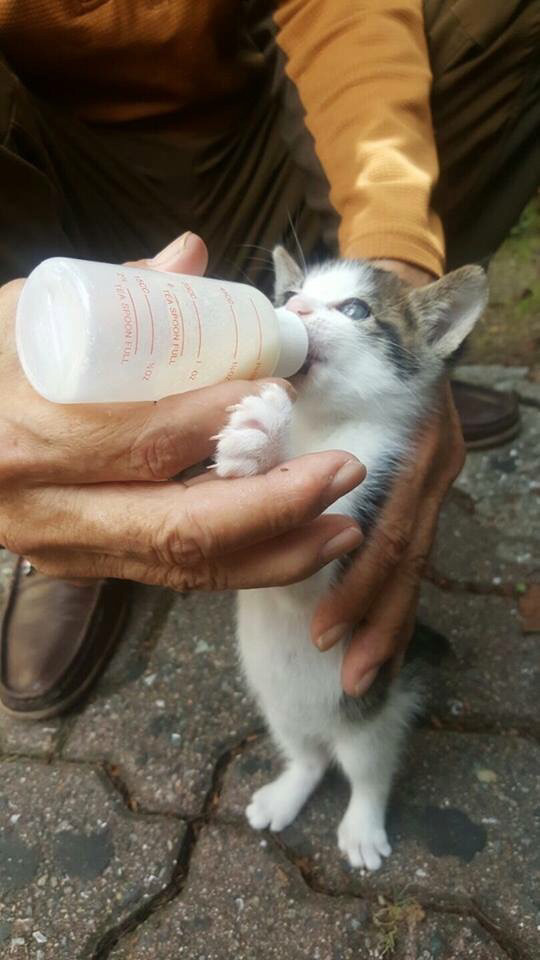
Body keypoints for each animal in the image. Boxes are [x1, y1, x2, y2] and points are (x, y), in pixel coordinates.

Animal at [213, 249, 488, 872]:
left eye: (357, 309)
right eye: (292, 294)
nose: (290, 310)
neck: (322, 425)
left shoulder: (371, 494)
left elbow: (311, 574)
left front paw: (264, 437)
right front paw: (256, 444)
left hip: (370, 706)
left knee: (368, 770)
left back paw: (362, 827)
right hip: (280, 708)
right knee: (309, 757)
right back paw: (287, 791)